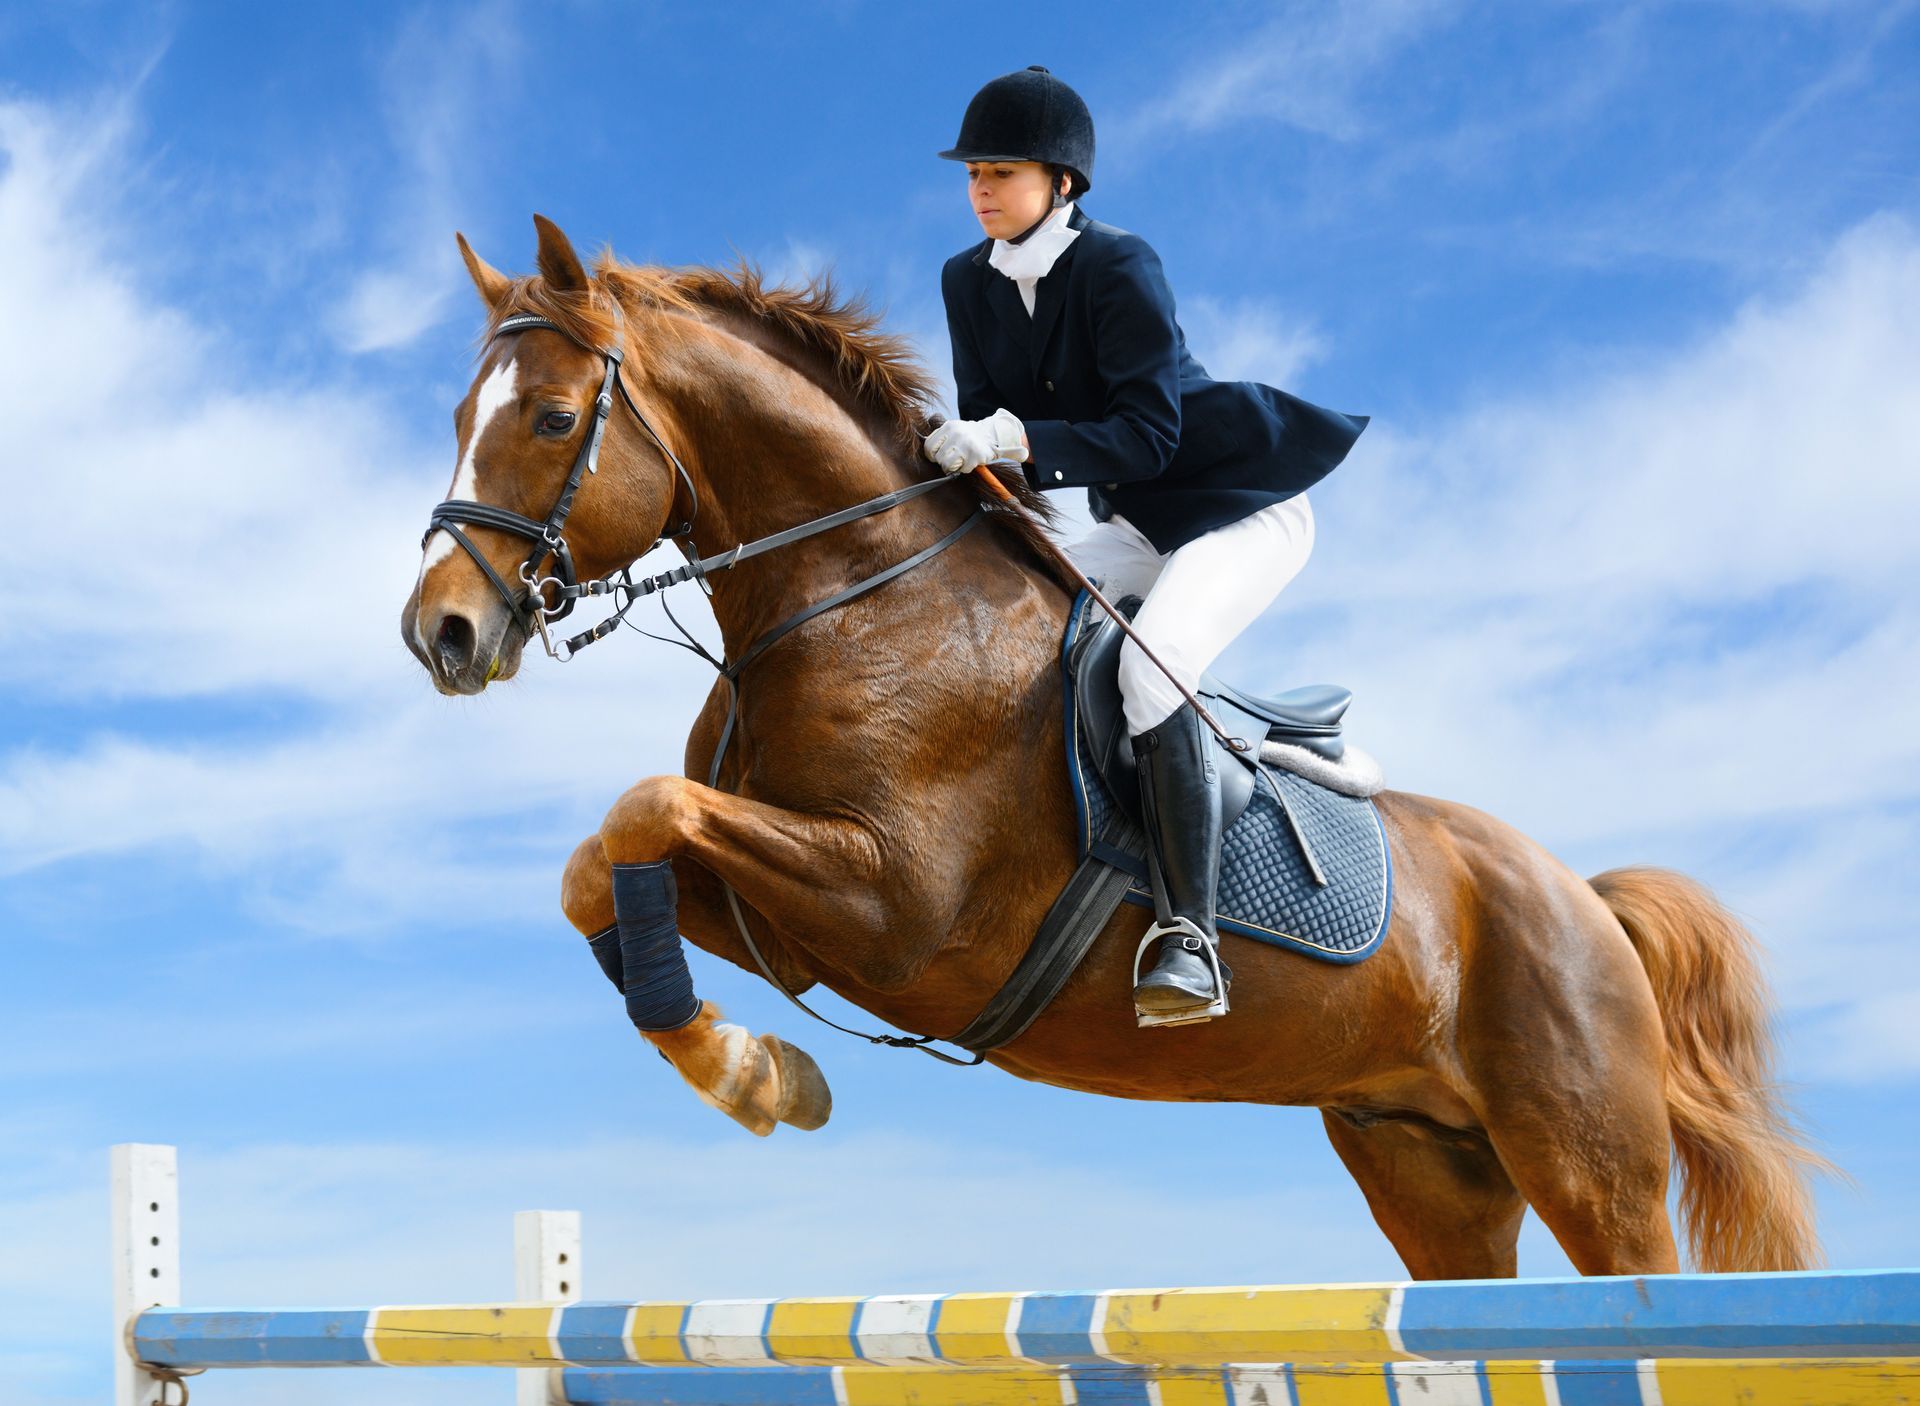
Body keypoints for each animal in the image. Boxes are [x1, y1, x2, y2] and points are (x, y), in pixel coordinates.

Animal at [400, 215, 1828, 1280]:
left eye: (550, 420)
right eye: (460, 415)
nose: (441, 632)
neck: (854, 593)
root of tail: (1582, 898)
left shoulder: (896, 906)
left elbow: (642, 809)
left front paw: (752, 1076)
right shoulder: (790, 917)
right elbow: (602, 860)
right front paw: (759, 1071)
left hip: (1590, 1165)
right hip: (1429, 1165)